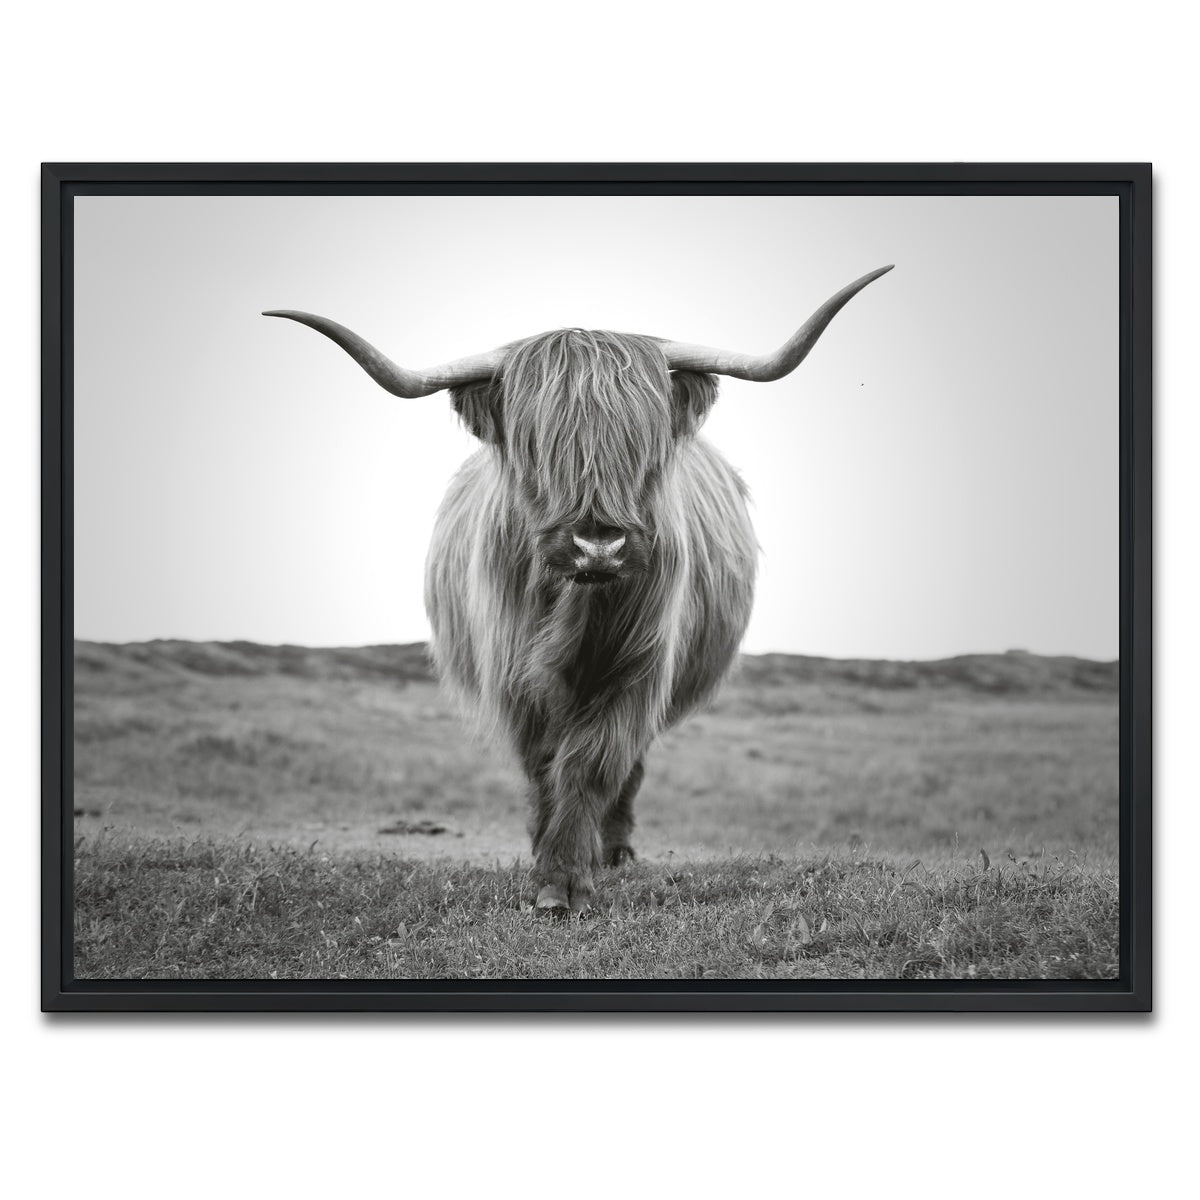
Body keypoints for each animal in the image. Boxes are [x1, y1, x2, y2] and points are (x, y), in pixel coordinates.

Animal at [265, 264, 892, 912]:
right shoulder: (514, 675)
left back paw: (613, 851)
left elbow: (593, 762)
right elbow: (545, 764)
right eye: (536, 445)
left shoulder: (638, 669)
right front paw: (547, 865)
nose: (597, 546)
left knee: (628, 768)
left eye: (643, 443)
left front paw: (567, 876)